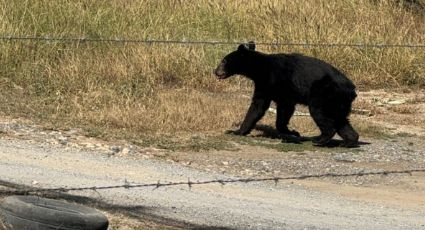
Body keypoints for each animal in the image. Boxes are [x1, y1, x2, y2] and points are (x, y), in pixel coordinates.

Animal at [212, 41, 358, 147]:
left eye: (223, 61)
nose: (215, 71)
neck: (260, 69)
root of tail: (352, 89)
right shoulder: (266, 86)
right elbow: (262, 107)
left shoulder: (274, 81)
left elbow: (272, 106)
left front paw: (291, 132)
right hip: (338, 101)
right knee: (341, 120)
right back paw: (349, 141)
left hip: (324, 93)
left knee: (319, 112)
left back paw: (320, 139)